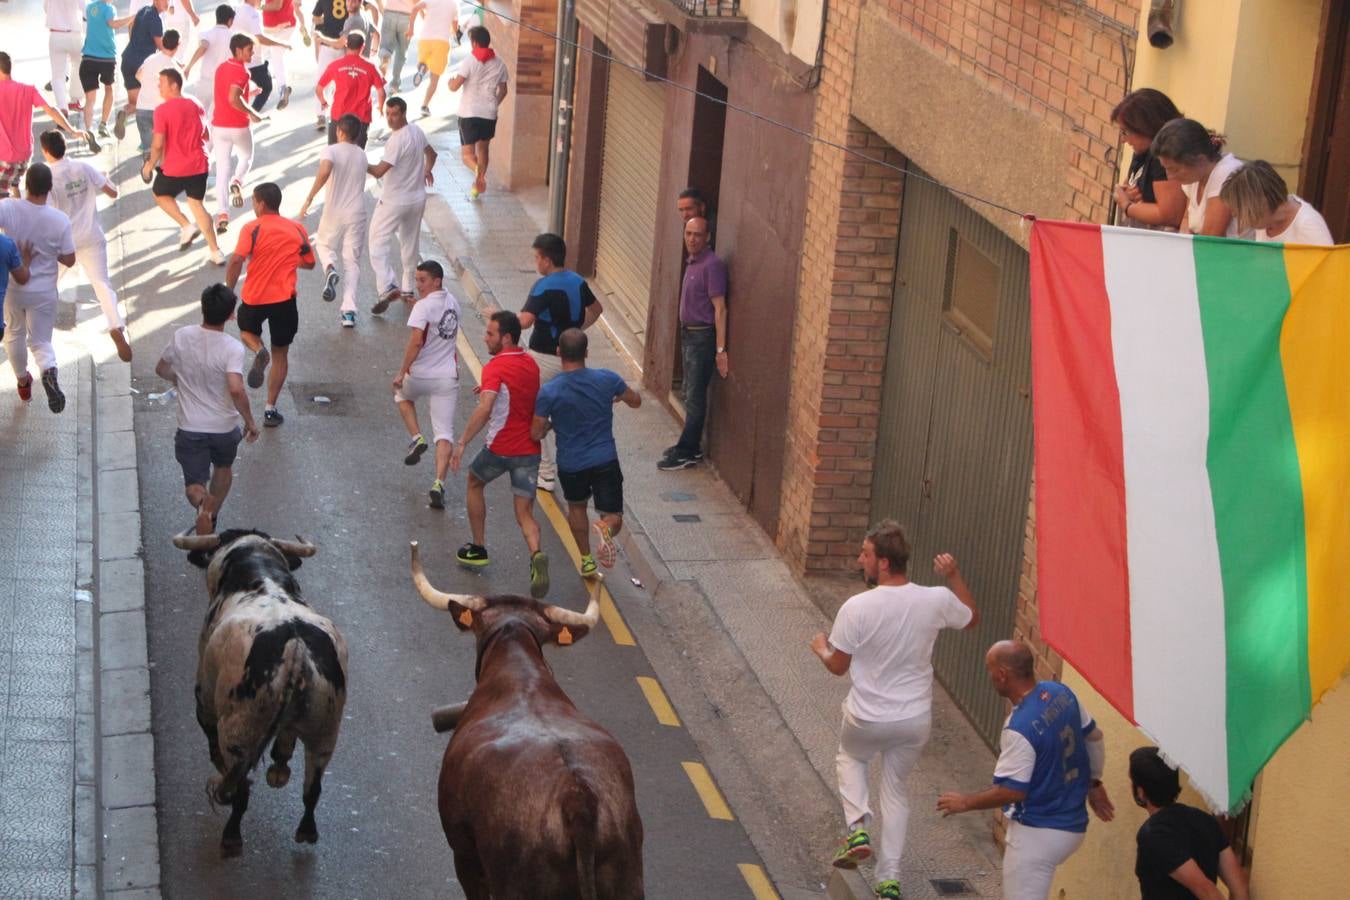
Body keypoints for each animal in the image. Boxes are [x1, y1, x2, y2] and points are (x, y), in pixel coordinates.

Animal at [172, 528, 348, 858]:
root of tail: (294, 645)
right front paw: (280, 764)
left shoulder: (205, 696)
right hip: (325, 732)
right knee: (312, 788)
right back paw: (306, 829)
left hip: (239, 731)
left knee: (241, 787)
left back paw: (231, 837)